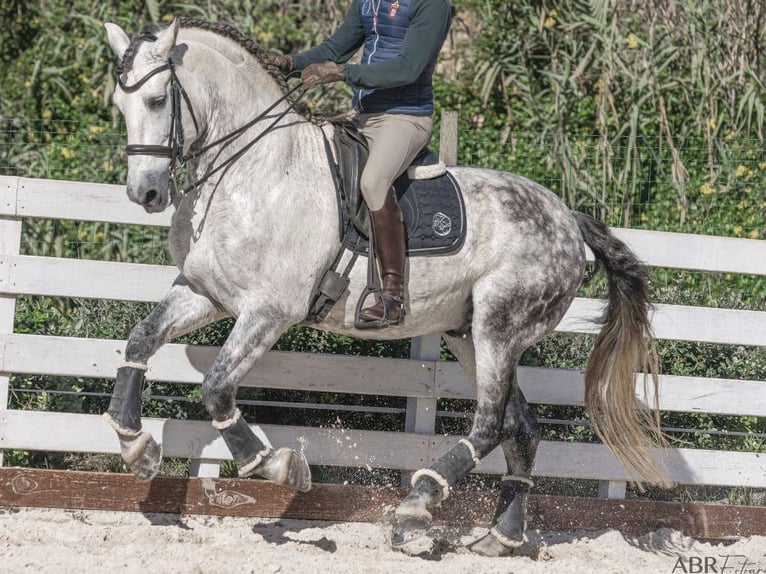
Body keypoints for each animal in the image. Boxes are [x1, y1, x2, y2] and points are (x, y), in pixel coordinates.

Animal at [103, 18, 672, 560]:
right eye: (119, 104)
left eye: (158, 100)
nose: (145, 193)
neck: (253, 171)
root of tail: (569, 220)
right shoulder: (205, 292)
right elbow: (141, 341)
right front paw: (136, 446)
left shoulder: (268, 310)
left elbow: (217, 388)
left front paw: (277, 464)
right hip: (469, 335)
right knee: (522, 427)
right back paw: (500, 537)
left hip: (499, 328)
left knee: (490, 424)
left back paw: (416, 507)